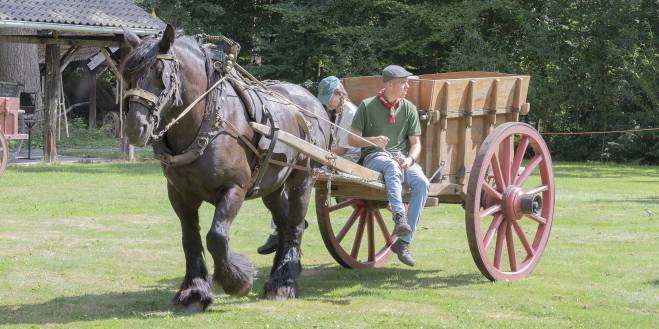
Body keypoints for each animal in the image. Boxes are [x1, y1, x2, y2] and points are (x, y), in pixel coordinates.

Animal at [119, 25, 330, 310]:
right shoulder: (179, 194)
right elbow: (190, 239)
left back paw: (284, 283)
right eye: (128, 75)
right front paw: (195, 292)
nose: (135, 127)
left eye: (160, 74)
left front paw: (237, 280)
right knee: (285, 223)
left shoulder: (235, 188)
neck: (207, 123)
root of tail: (313, 103)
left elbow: (216, 237)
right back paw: (280, 275)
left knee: (296, 225)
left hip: (303, 179)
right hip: (273, 186)